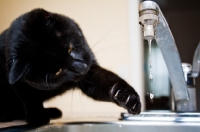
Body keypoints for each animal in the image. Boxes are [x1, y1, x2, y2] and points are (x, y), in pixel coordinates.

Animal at [0, 8, 141, 125]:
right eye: (58, 71)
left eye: (70, 48)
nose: (82, 68)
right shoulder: (18, 83)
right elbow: (29, 98)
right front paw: (37, 116)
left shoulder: (90, 74)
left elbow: (108, 82)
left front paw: (127, 97)